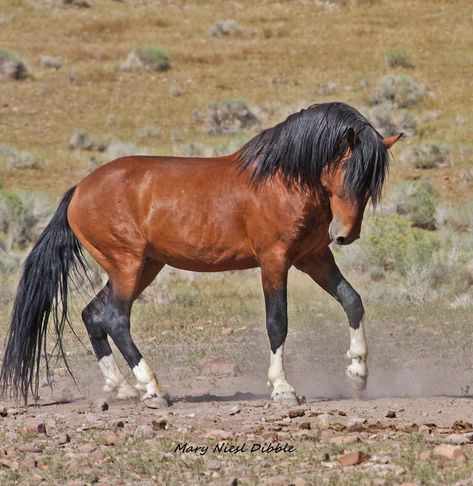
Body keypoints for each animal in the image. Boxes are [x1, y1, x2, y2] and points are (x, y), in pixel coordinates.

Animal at [0, 101, 400, 406]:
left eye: (370, 183)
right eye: (349, 172)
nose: (346, 235)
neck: (282, 180)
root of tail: (79, 190)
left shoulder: (313, 258)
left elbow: (352, 300)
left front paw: (358, 373)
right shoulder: (274, 260)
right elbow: (277, 322)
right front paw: (283, 389)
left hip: (143, 266)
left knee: (93, 314)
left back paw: (124, 388)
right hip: (127, 264)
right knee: (114, 318)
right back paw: (153, 389)